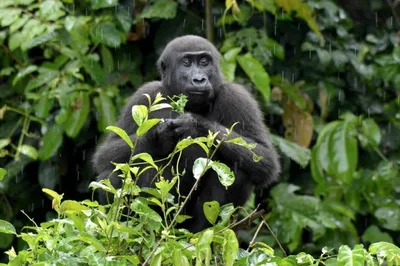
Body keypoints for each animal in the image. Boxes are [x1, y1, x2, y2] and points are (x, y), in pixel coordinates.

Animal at [93, 34, 282, 231]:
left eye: (205, 62)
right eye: (186, 62)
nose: (199, 79)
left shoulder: (237, 96)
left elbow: (264, 158)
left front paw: (193, 124)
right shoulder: (144, 94)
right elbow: (106, 155)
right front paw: (158, 138)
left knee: (238, 169)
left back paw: (206, 232)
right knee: (114, 172)